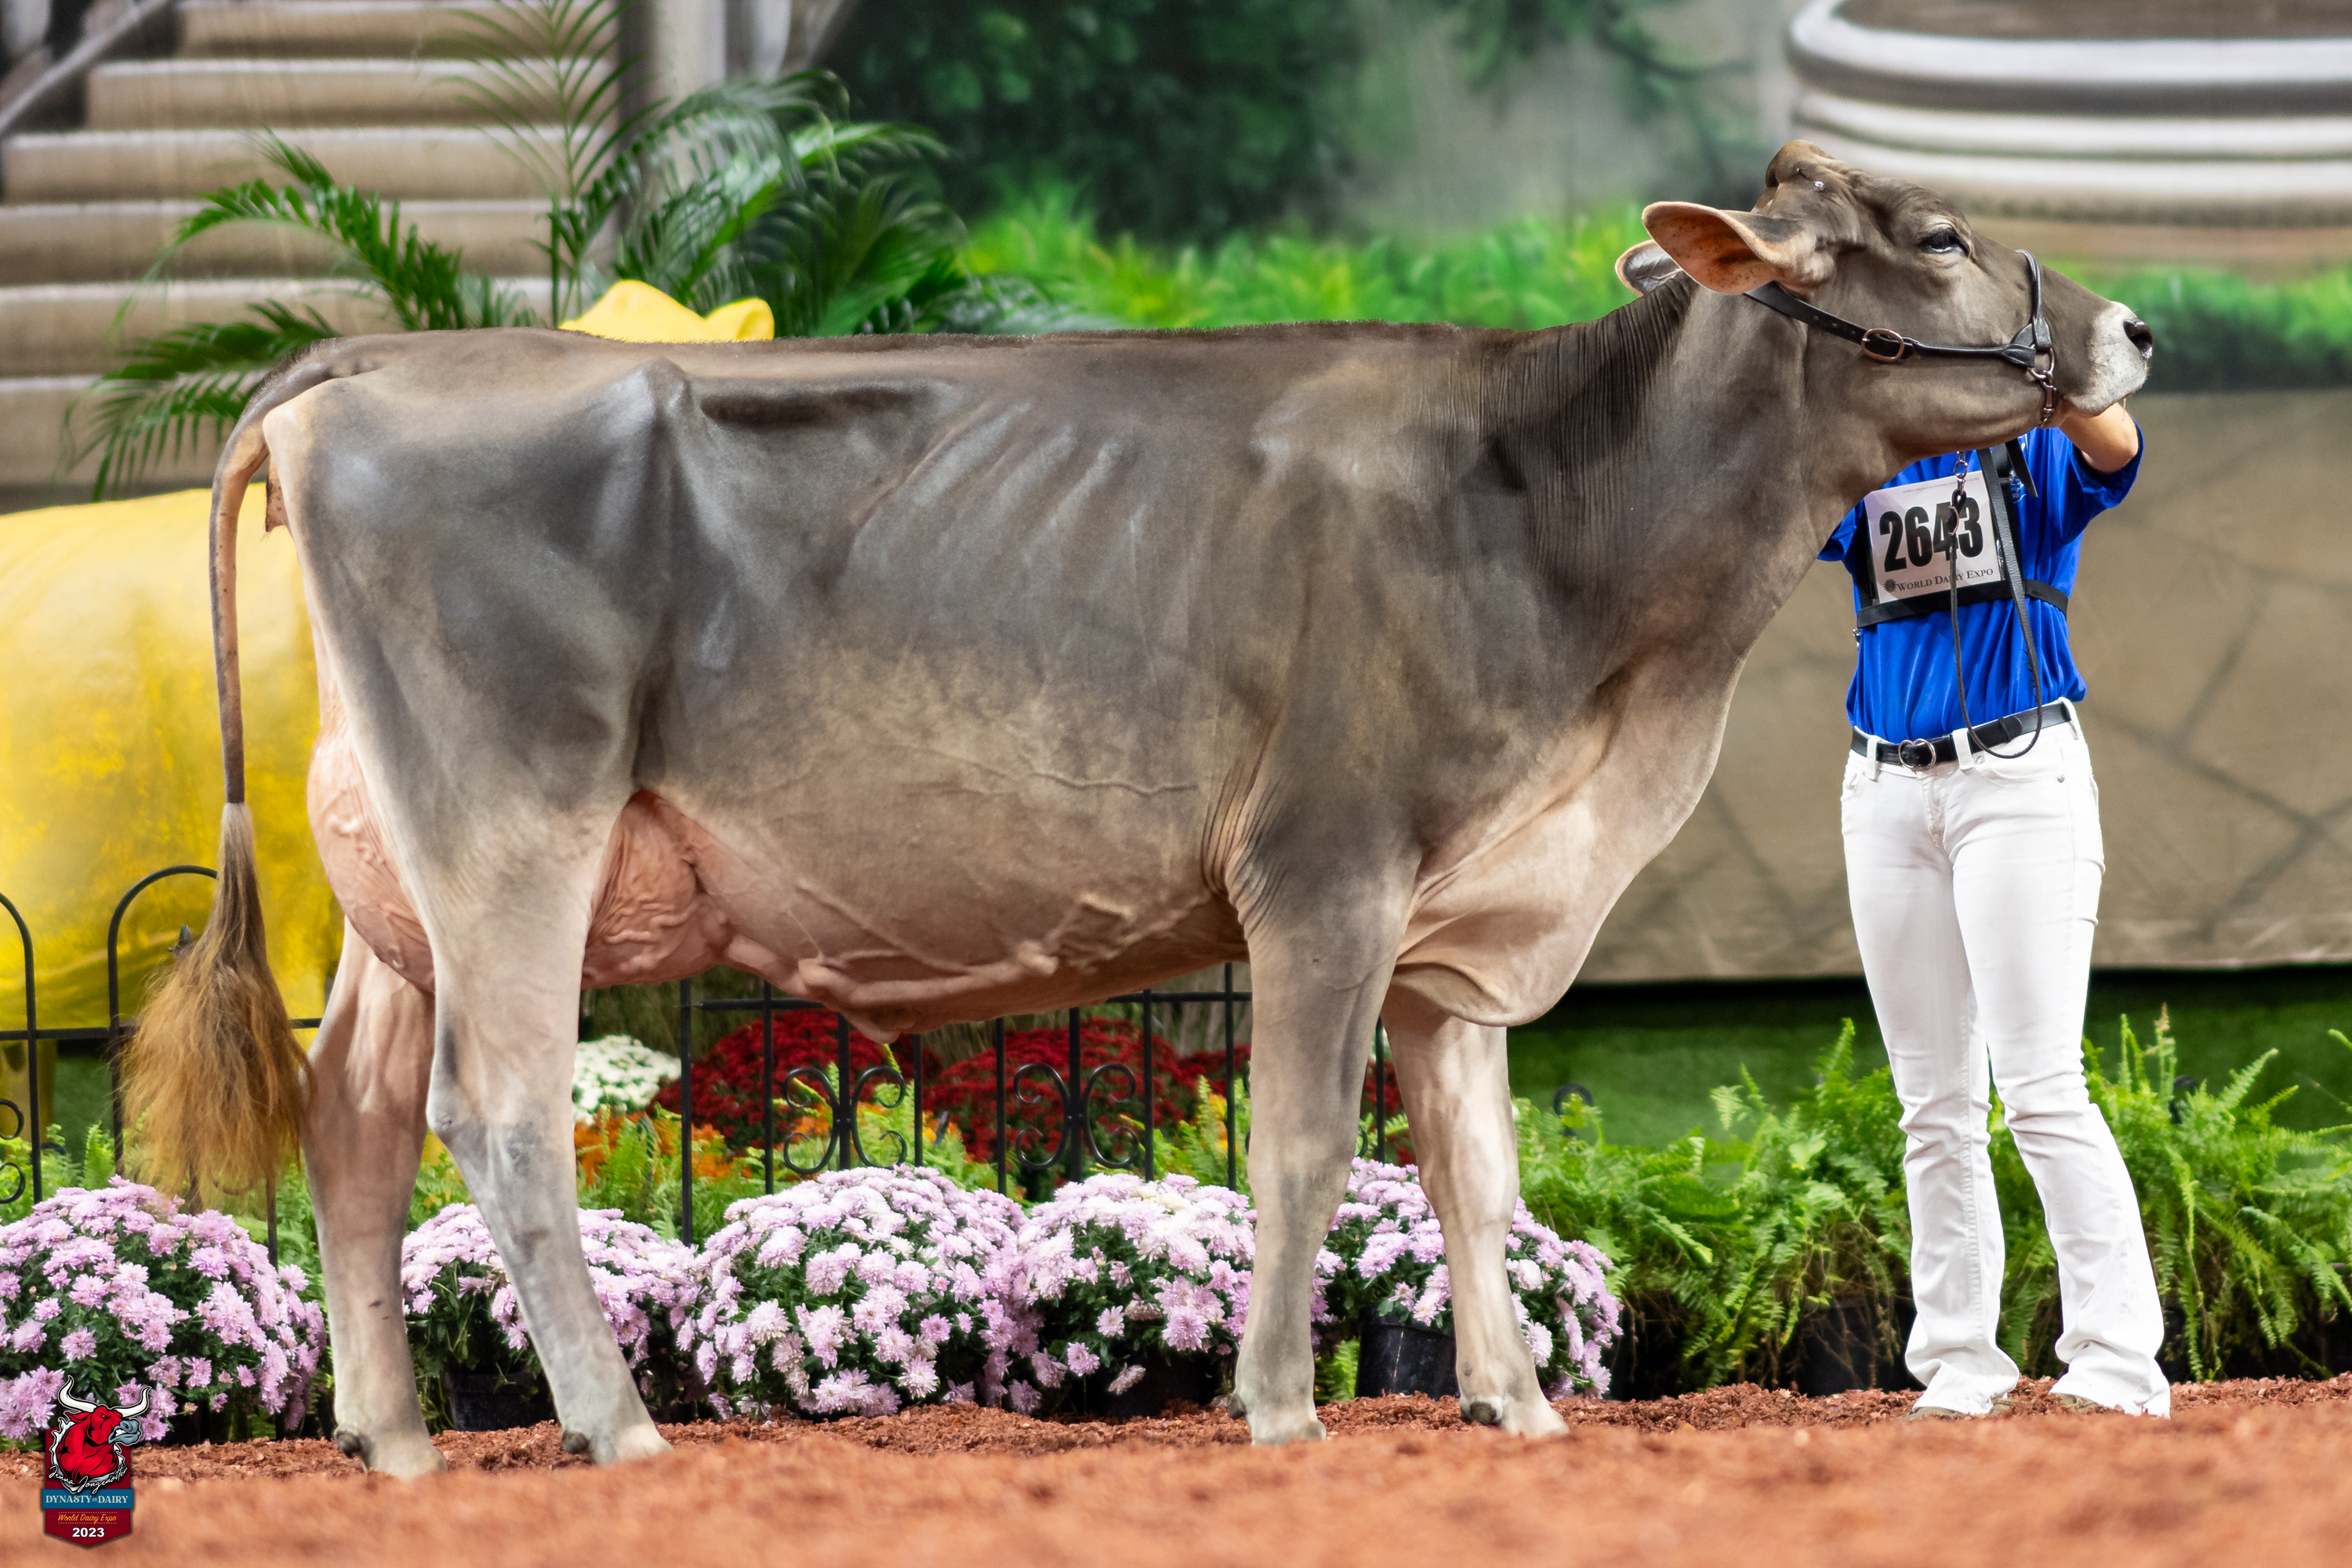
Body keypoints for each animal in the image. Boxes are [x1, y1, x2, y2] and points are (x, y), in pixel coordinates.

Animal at [124, 143, 2151, 1475]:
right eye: (1941, 235)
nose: (2127, 324)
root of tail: (380, 363)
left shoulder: (1454, 923)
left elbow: (1478, 1172)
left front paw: (1511, 1402)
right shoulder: (1326, 869)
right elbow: (1306, 1152)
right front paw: (1279, 1406)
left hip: (398, 877)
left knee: (354, 1120)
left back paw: (394, 1442)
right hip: (511, 829)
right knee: (499, 1112)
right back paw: (616, 1429)